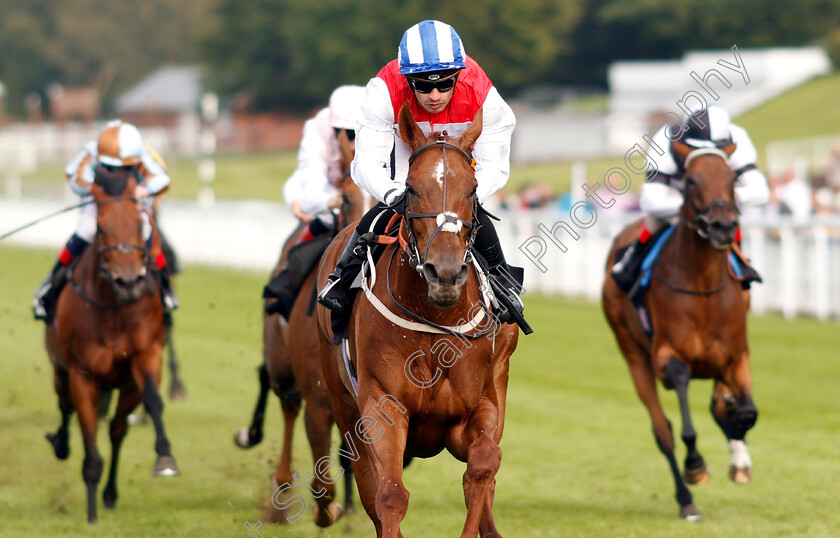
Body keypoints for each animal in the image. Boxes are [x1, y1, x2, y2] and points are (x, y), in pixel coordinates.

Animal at [235, 131, 370, 524]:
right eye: (347, 197)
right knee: (286, 400)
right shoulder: (318, 396)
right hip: (281, 361)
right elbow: (323, 486)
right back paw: (280, 480)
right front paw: (331, 508)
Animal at [604, 140, 760, 516]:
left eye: (732, 178)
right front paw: (696, 466)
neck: (703, 288)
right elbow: (685, 414)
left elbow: (745, 412)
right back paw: (686, 499)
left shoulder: (737, 355)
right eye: (690, 181)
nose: (722, 226)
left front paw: (738, 453)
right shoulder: (666, 356)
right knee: (662, 431)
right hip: (632, 353)